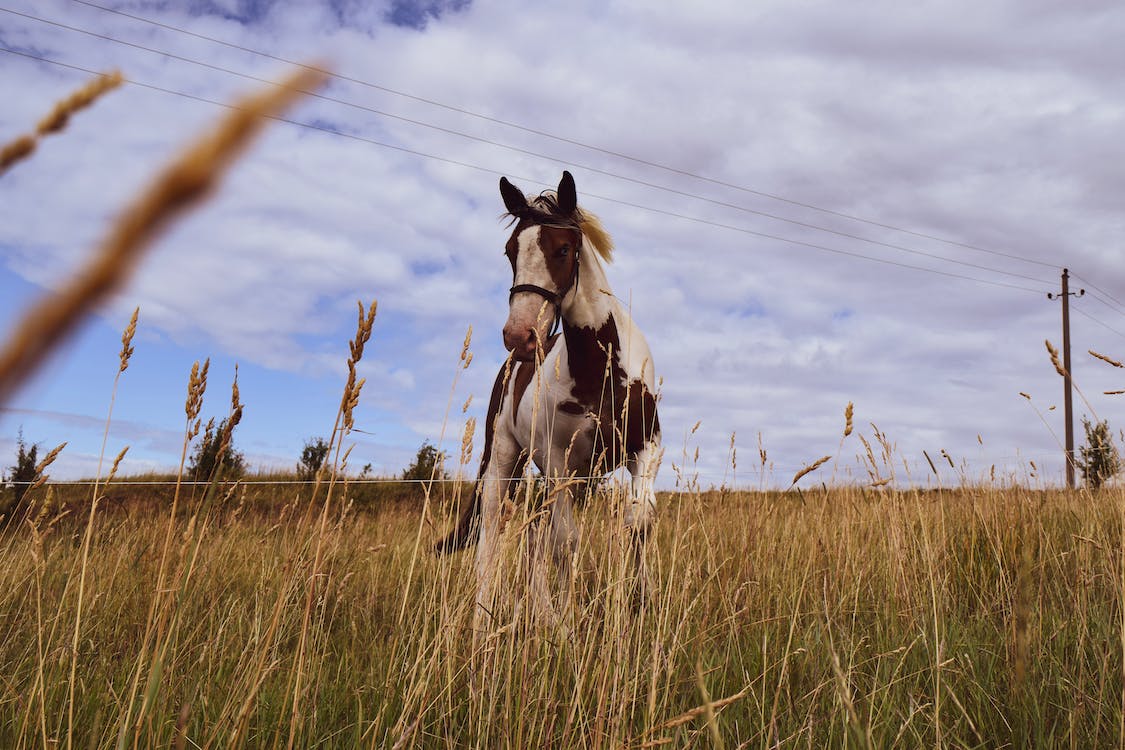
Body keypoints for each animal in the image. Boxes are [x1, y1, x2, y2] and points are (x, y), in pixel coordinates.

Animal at [429, 172, 657, 629]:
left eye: (564, 248)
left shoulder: (646, 449)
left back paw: (541, 612)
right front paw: (568, 625)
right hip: (504, 460)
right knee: (493, 535)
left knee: (536, 533)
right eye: (510, 250)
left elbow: (636, 522)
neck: (599, 370)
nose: (520, 336)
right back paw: (486, 623)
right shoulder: (556, 462)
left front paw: (642, 610)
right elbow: (566, 542)